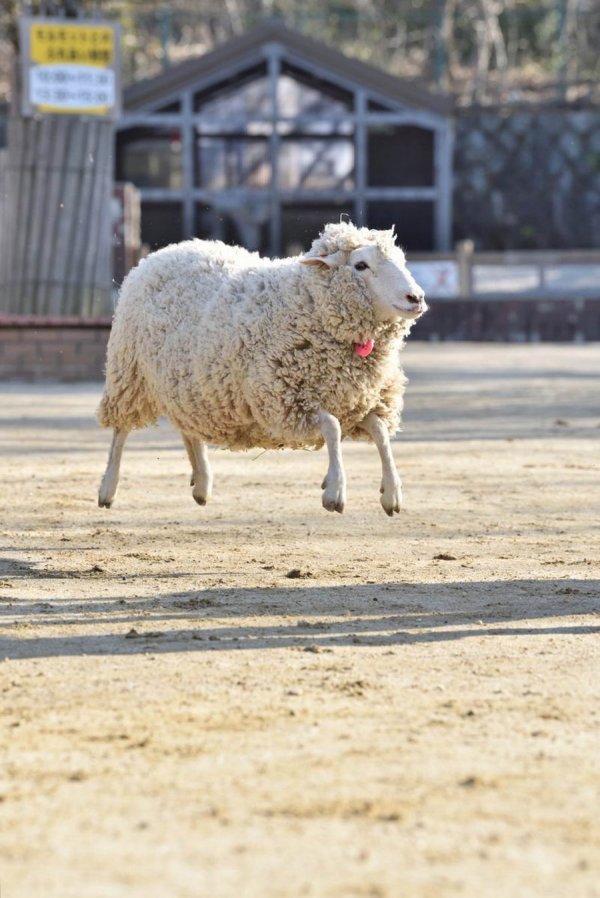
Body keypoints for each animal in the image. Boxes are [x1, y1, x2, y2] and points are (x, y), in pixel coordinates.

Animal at [97, 221, 426, 516]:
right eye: (360, 265)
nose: (417, 297)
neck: (307, 303)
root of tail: (163, 252)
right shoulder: (285, 405)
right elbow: (332, 427)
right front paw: (334, 490)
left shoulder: (357, 401)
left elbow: (380, 431)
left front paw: (391, 493)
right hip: (129, 373)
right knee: (120, 432)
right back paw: (107, 489)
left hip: (186, 385)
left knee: (188, 430)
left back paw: (202, 483)